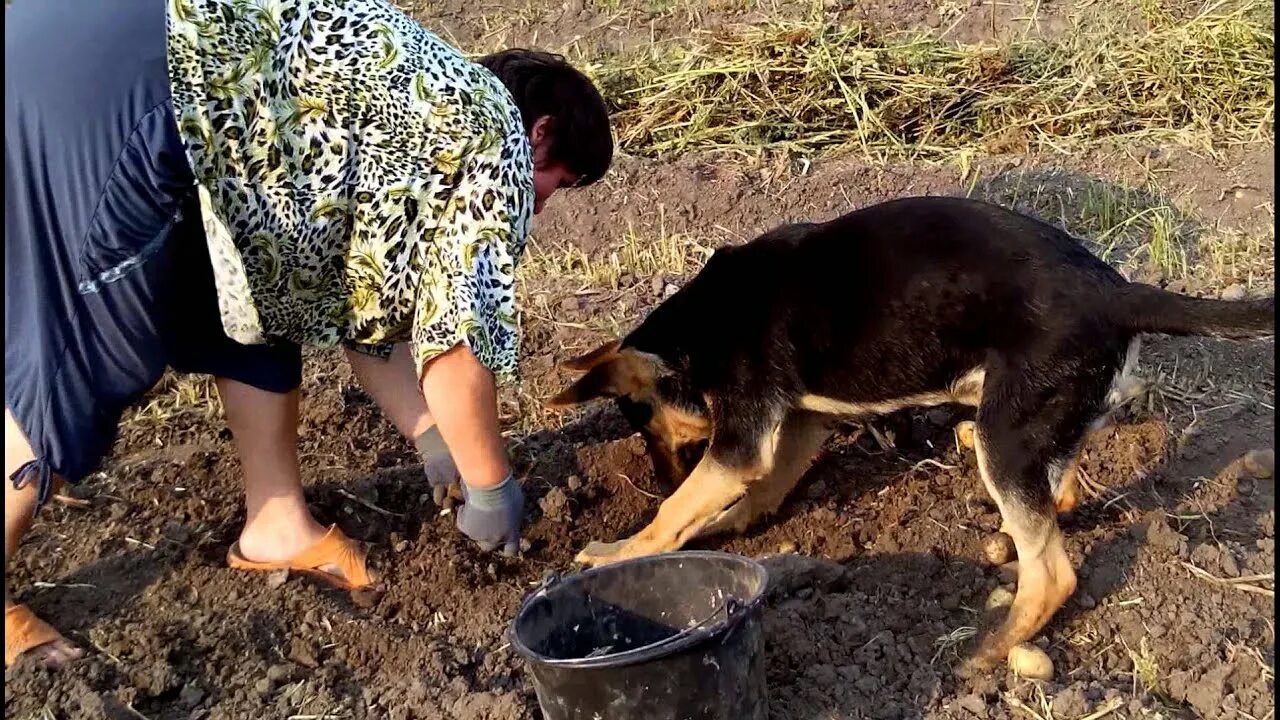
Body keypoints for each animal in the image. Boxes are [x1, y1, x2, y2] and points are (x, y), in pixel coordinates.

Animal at [547, 194, 1269, 671]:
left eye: (650, 428)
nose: (659, 473)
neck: (697, 329)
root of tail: (1114, 293)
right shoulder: (800, 421)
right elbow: (766, 489)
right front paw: (728, 526)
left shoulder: (741, 436)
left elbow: (677, 512)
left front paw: (620, 551)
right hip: (1036, 416)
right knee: (1056, 494)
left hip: (1006, 431)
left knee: (1054, 573)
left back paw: (993, 647)